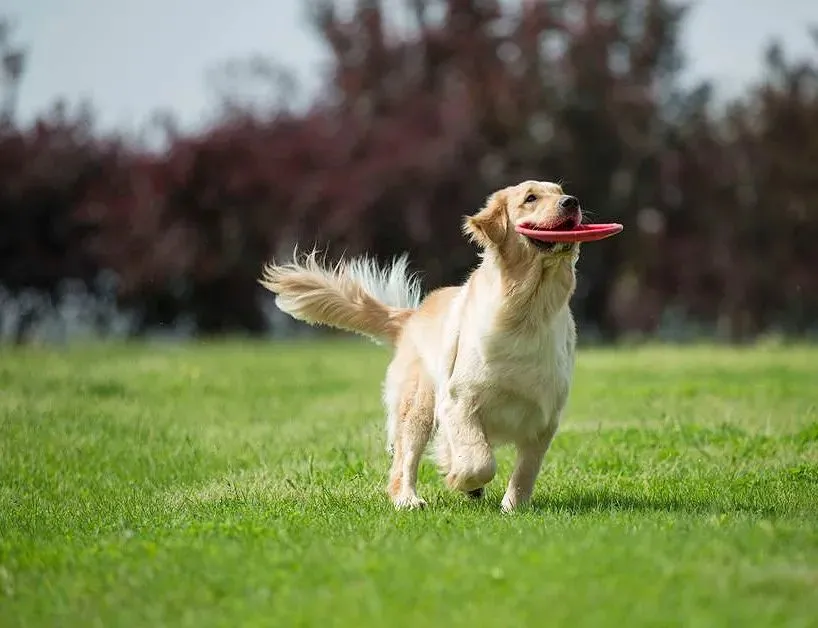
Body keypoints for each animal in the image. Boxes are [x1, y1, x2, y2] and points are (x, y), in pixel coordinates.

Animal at [262, 179, 580, 512]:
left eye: (560, 193)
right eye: (530, 198)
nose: (572, 202)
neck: (528, 312)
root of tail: (411, 317)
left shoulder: (545, 419)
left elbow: (525, 470)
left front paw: (512, 507)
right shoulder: (459, 400)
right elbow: (480, 461)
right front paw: (461, 479)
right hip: (418, 406)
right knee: (405, 460)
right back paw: (409, 499)